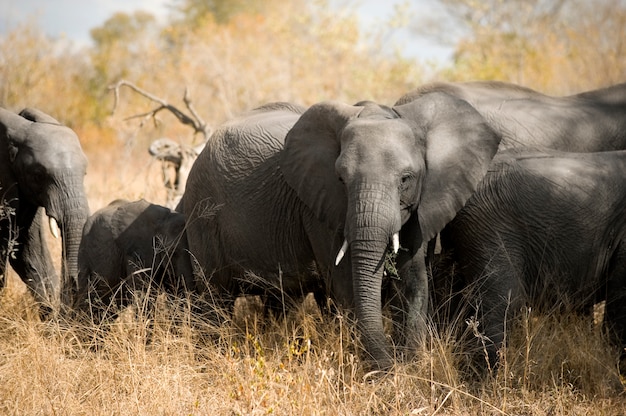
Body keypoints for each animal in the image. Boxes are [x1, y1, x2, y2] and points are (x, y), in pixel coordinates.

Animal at [178, 97, 500, 370]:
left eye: (406, 179)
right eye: (341, 179)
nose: (390, 365)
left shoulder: (421, 206)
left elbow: (414, 281)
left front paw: (411, 371)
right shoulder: (317, 206)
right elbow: (344, 281)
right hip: (202, 211)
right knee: (213, 297)